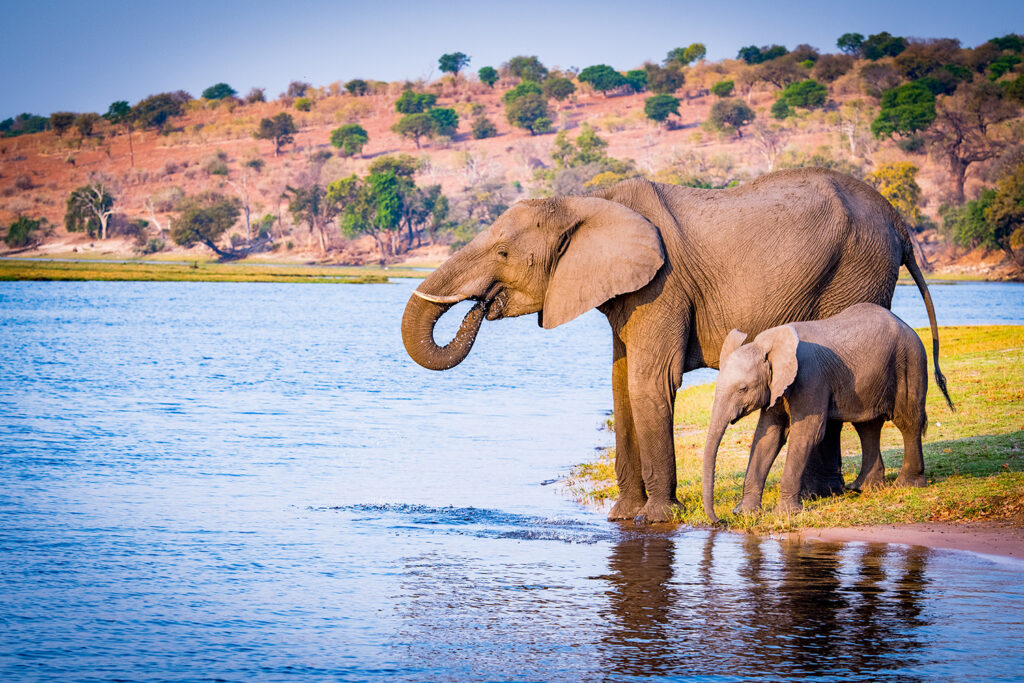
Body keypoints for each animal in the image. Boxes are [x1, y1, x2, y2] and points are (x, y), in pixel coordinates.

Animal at [700, 303, 954, 523]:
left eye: (743, 389)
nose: (720, 521)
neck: (766, 345)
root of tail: (905, 324)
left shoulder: (810, 378)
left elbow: (807, 434)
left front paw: (786, 514)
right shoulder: (777, 387)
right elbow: (769, 435)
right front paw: (745, 513)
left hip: (909, 362)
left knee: (907, 421)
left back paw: (906, 485)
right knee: (867, 426)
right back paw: (863, 488)